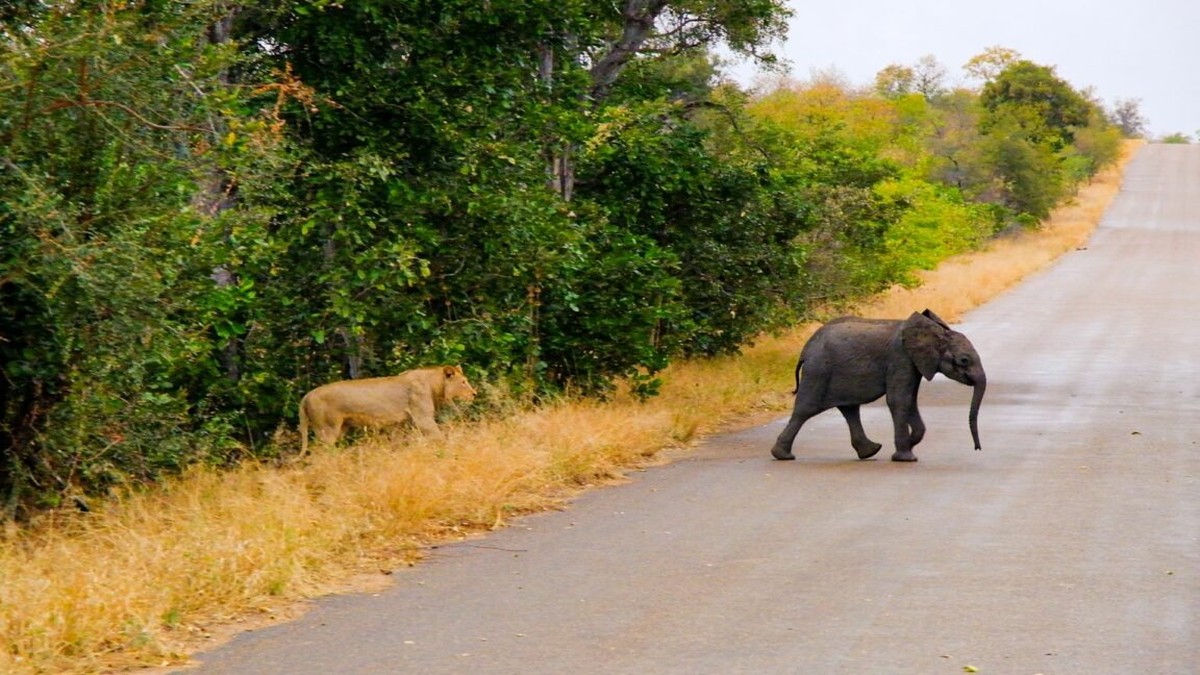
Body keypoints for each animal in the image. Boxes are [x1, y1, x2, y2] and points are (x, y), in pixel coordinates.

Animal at [300, 362, 477, 451]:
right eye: (463, 382)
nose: (475, 393)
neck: (435, 385)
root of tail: (307, 395)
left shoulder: (398, 424)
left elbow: (397, 444)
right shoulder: (423, 418)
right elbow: (439, 437)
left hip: (340, 429)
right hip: (327, 430)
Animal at [772, 309, 988, 461]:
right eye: (964, 361)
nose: (977, 448)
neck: (934, 333)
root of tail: (806, 349)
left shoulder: (913, 363)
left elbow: (910, 400)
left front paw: (909, 444)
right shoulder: (900, 358)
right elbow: (899, 400)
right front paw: (906, 457)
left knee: (850, 409)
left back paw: (870, 451)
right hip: (819, 371)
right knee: (806, 409)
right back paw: (783, 456)